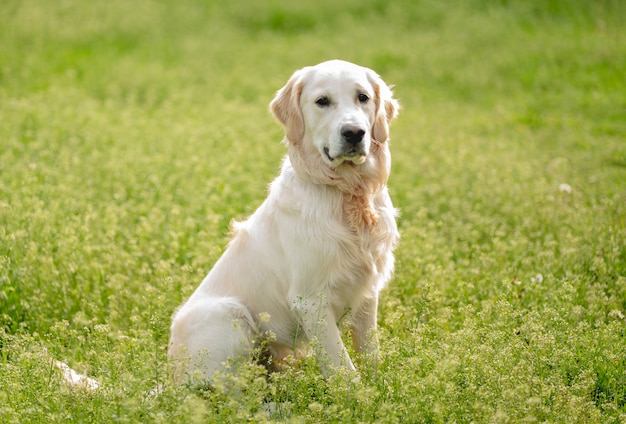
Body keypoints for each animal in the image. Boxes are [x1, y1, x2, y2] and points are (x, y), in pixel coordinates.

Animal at [168, 60, 398, 384]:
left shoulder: (367, 291)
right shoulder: (311, 299)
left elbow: (371, 352)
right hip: (228, 313)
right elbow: (342, 367)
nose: (354, 133)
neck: (345, 191)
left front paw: (381, 389)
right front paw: (358, 394)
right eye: (322, 101)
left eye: (363, 97)